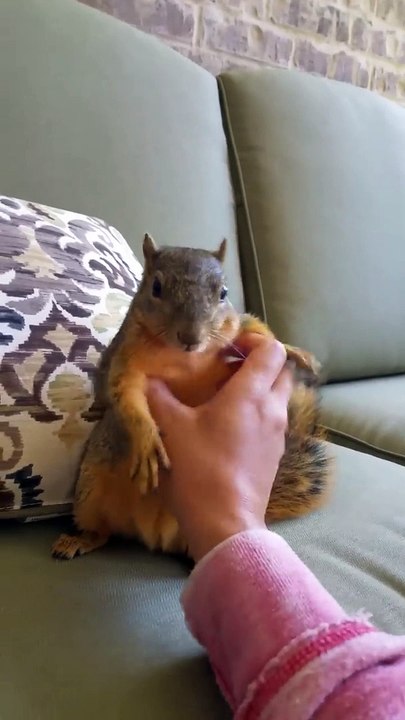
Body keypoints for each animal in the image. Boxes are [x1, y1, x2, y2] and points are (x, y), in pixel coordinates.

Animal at [52, 234, 332, 560]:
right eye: (156, 287)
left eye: (223, 292)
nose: (191, 337)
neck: (182, 358)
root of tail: (155, 531)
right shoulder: (125, 362)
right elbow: (126, 400)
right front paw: (146, 443)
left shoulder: (234, 328)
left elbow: (258, 330)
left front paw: (296, 352)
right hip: (90, 486)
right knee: (102, 530)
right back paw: (79, 540)